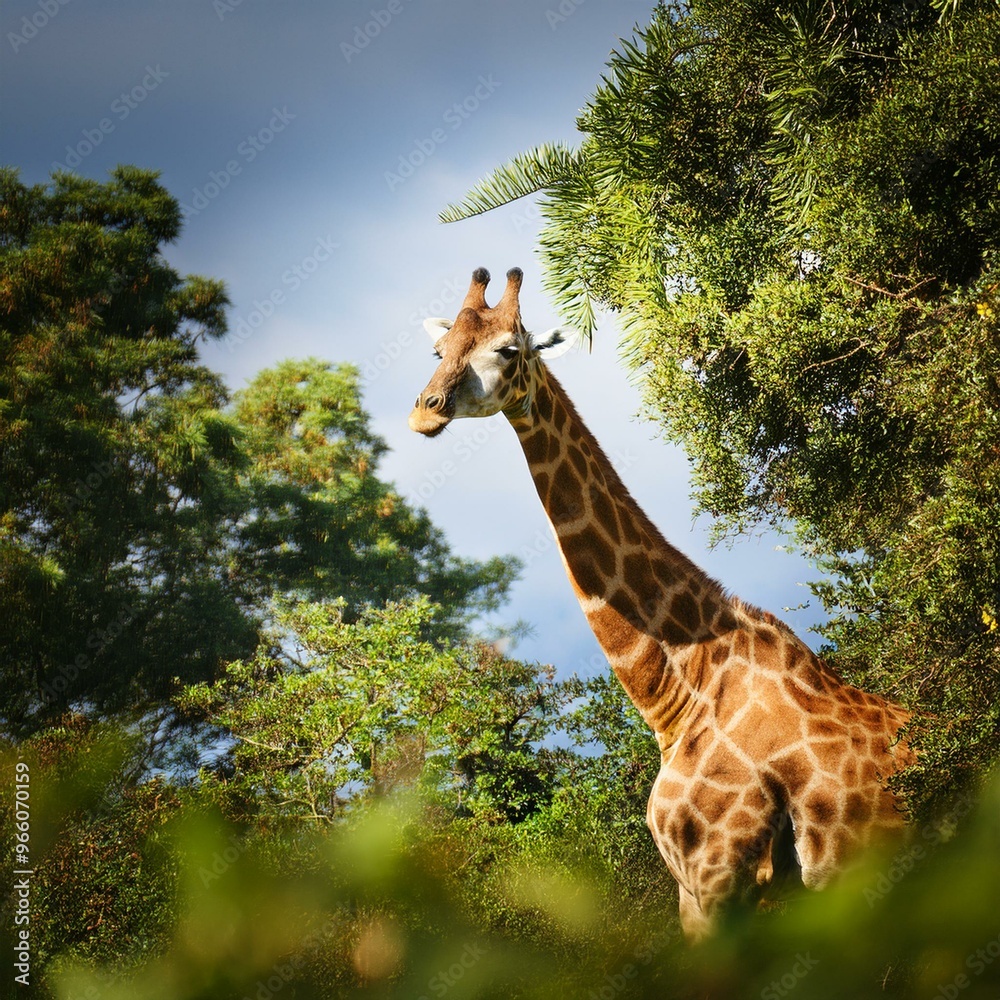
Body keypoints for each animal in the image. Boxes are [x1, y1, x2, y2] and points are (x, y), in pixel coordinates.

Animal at [408, 266, 915, 940]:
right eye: (439, 351)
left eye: (508, 350)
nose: (424, 412)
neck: (676, 698)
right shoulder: (690, 890)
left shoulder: (719, 872)